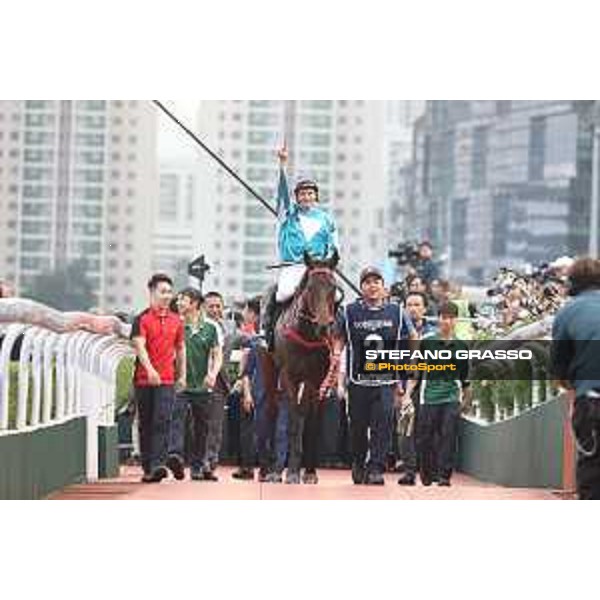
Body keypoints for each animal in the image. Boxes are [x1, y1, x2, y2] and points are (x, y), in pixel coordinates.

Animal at [258, 251, 340, 486]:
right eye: (310, 288)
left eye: (333, 287)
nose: (324, 326)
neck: (307, 335)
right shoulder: (289, 375)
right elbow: (294, 418)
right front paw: (292, 472)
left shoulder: (316, 378)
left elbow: (310, 420)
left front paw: (309, 471)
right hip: (269, 368)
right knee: (272, 410)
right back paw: (270, 470)